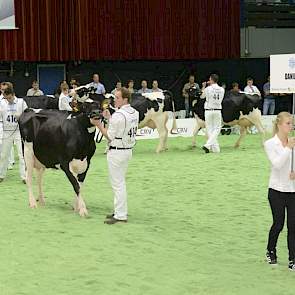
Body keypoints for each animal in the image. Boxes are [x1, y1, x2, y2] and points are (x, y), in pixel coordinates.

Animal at [19, 86, 103, 217]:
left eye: (98, 105)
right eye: (84, 106)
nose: (96, 113)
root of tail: (29, 110)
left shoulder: (86, 163)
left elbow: (80, 185)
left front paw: (76, 207)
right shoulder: (64, 163)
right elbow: (76, 185)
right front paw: (83, 210)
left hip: (41, 156)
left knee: (39, 179)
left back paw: (41, 200)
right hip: (28, 151)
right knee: (29, 178)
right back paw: (32, 203)